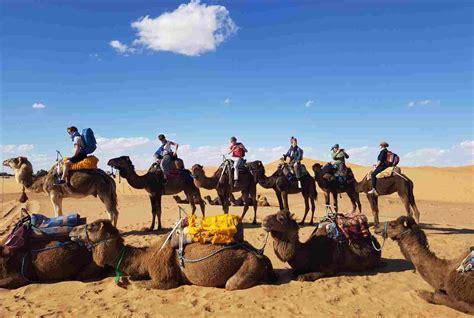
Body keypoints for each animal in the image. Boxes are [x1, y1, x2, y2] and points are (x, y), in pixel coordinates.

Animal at [70, 219, 278, 290]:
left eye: (91, 226)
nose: (72, 231)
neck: (145, 258)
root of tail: (260, 254)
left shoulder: (165, 279)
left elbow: (140, 285)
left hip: (249, 264)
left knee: (231, 284)